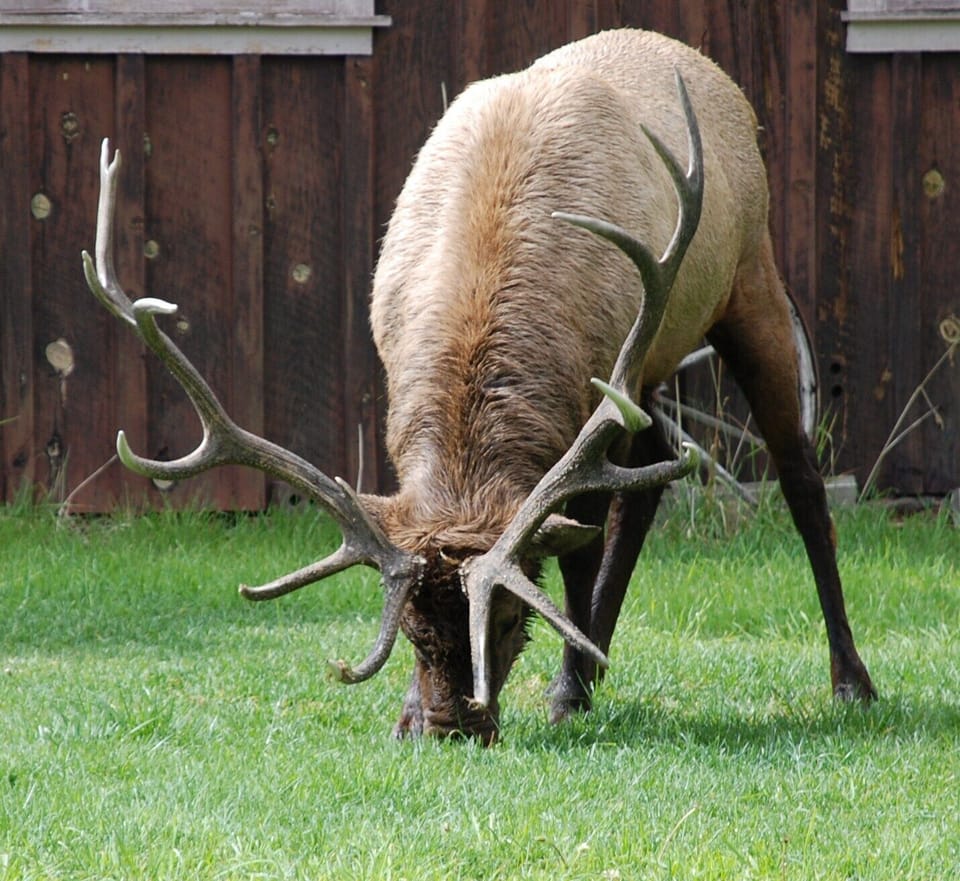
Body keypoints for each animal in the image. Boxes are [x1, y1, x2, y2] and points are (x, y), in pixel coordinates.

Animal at [83, 29, 875, 743]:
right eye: (408, 624)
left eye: (510, 614)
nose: (449, 724)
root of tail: (714, 75)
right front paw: (414, 711)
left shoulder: (595, 397)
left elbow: (577, 545)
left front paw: (566, 690)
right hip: (651, 369)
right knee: (654, 474)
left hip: (749, 283)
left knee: (800, 478)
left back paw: (849, 681)